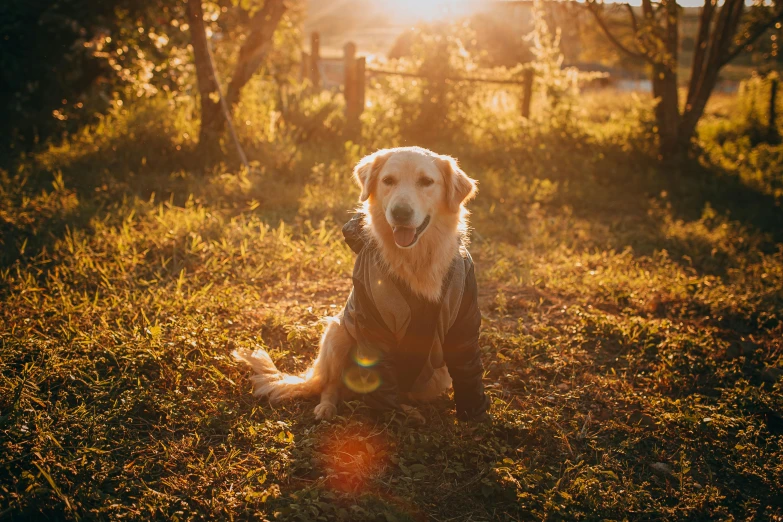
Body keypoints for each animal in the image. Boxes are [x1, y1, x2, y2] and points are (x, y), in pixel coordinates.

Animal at [233, 144, 490, 420]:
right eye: (388, 181)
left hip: (438, 376)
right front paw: (388, 418)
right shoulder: (372, 319)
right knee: (331, 386)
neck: (415, 258)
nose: (400, 213)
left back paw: (409, 409)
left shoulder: (464, 322)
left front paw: (475, 413)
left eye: (426, 182)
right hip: (337, 333)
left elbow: (468, 369)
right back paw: (328, 407)